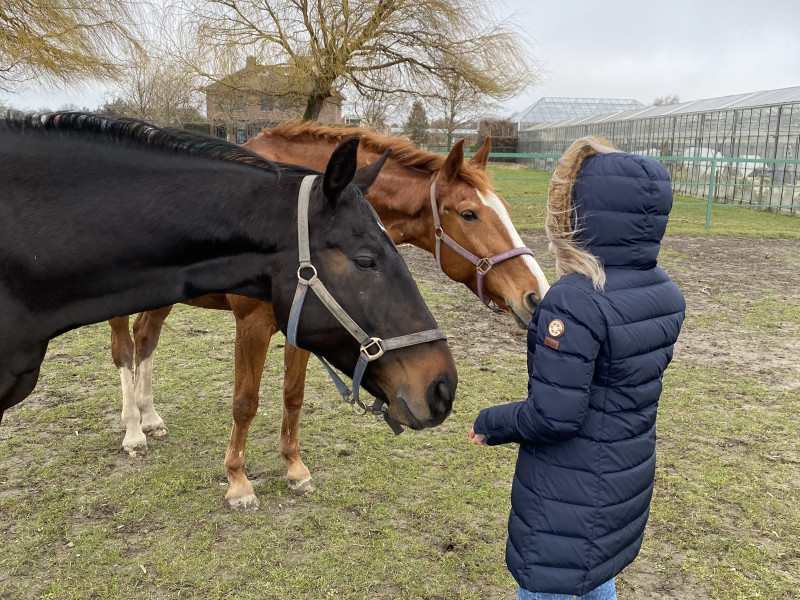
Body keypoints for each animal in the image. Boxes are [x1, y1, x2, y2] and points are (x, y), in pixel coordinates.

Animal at [108, 121, 549, 508]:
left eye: (505, 208)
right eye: (469, 213)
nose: (535, 293)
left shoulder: (304, 323)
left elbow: (293, 395)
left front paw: (295, 468)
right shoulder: (252, 325)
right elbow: (245, 402)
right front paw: (238, 482)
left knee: (146, 338)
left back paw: (151, 417)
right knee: (124, 350)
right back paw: (133, 430)